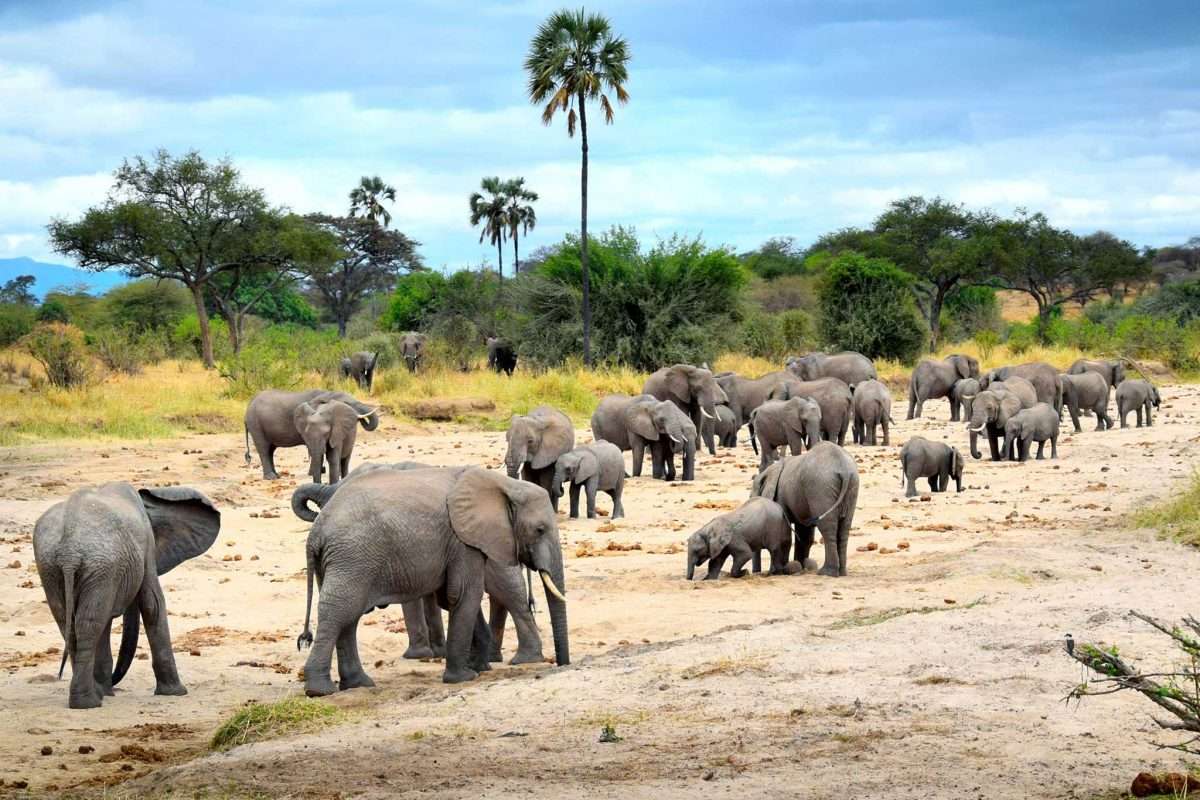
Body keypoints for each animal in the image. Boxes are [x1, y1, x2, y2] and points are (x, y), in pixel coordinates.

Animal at [33, 484, 220, 708]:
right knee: (88, 624)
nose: (113, 685)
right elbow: (153, 604)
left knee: (70, 624)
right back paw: (88, 702)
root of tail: (69, 551)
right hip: (97, 563)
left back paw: (91, 697)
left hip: (58, 567)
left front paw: (106, 691)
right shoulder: (145, 547)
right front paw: (176, 693)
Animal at [244, 390, 380, 480]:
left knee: (270, 450)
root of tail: (248, 407)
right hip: (255, 424)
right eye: (348, 403)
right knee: (263, 448)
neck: (326, 393)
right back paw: (271, 477)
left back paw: (276, 475)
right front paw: (316, 472)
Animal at [296, 466, 568, 692]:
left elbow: (452, 597)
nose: (562, 665)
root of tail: (316, 533)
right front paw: (464, 677)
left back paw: (358, 685)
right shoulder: (461, 540)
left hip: (344, 561)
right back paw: (320, 690)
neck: (504, 484)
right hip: (353, 558)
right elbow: (464, 594)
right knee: (339, 612)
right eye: (540, 530)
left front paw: (478, 668)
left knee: (348, 617)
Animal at [749, 442, 859, 577]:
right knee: (844, 528)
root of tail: (844, 469)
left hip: (821, 488)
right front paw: (800, 567)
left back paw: (826, 572)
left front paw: (778, 571)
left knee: (827, 528)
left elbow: (785, 533)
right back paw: (841, 572)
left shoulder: (780, 498)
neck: (770, 470)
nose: (756, 572)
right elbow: (804, 533)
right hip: (852, 485)